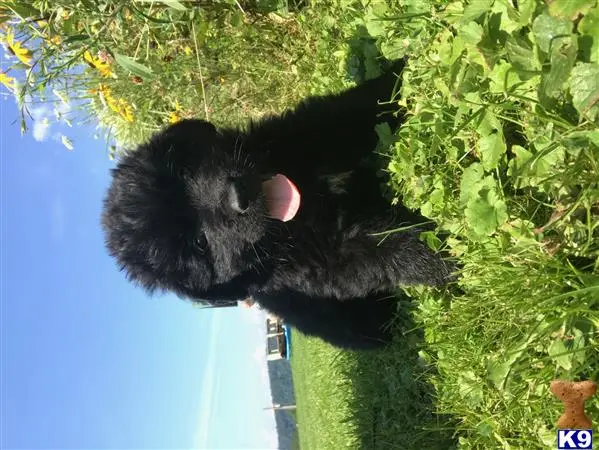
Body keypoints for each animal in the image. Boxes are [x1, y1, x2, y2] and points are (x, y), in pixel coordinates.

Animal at [101, 59, 454, 348]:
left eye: (186, 172)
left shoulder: (308, 130)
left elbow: (355, 107)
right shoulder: (335, 258)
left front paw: (407, 70)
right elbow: (394, 250)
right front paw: (452, 260)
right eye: (200, 244)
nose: (239, 196)